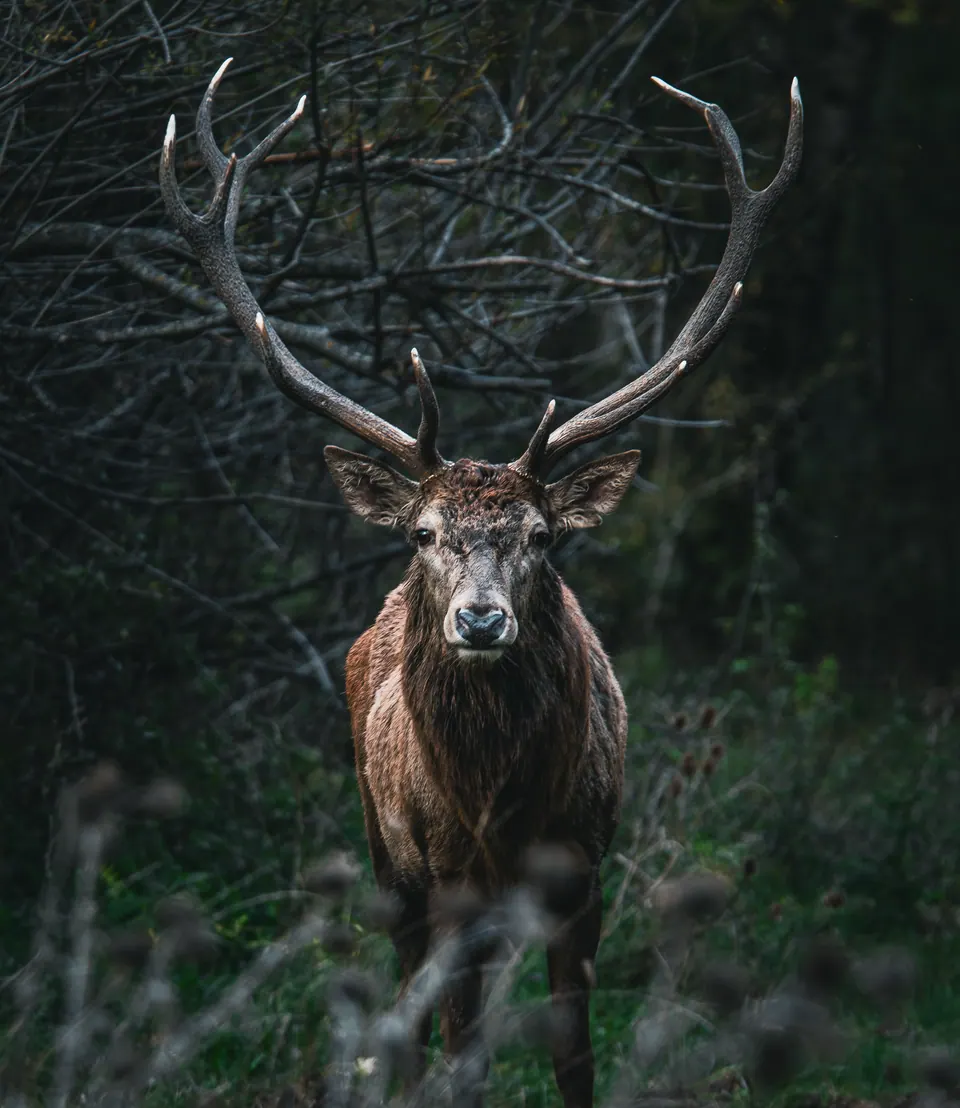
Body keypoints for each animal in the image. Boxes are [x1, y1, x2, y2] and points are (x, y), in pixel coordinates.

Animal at [160, 59, 802, 1108]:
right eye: (424, 532)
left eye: (542, 535)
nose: (482, 618)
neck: (501, 812)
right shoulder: (445, 882)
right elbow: (459, 1051)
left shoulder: (583, 875)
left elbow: (572, 1048)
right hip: (390, 867)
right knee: (416, 1023)